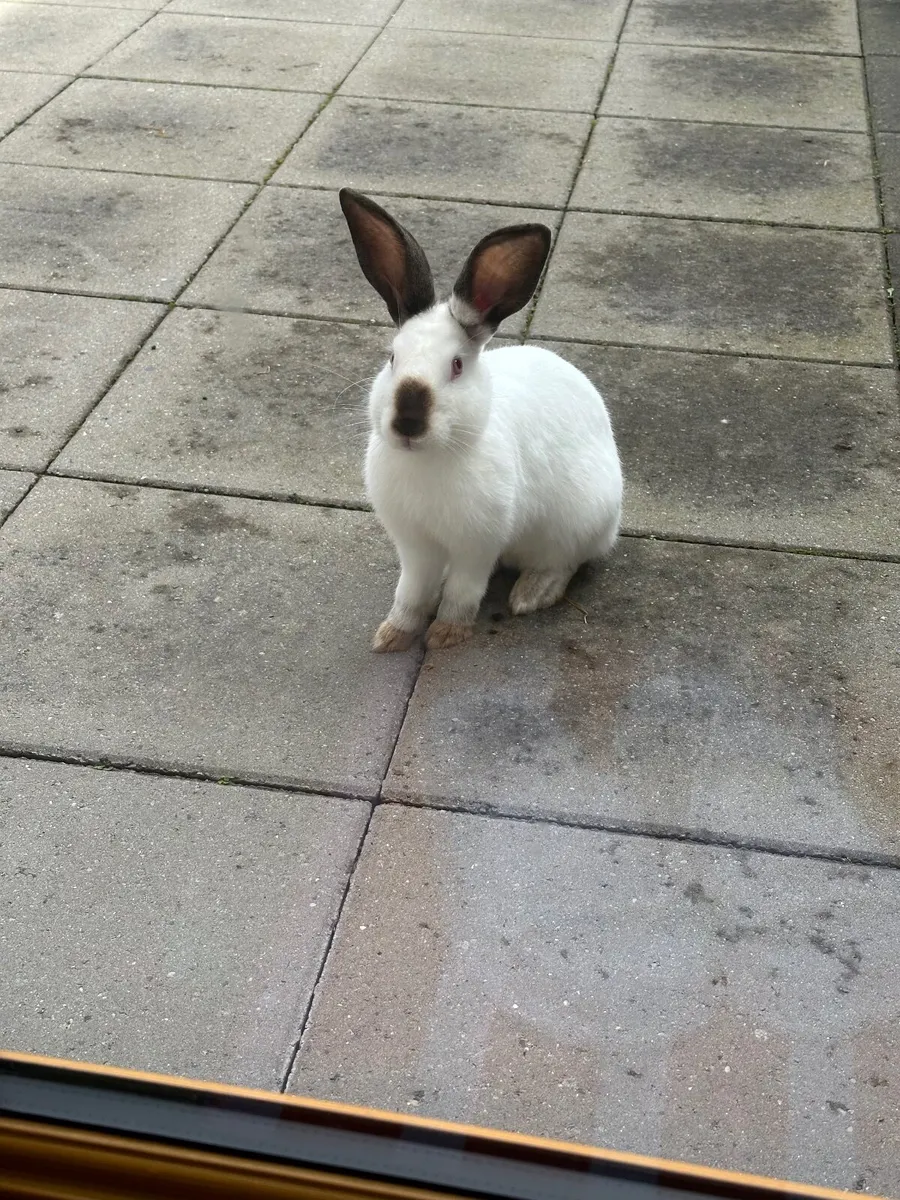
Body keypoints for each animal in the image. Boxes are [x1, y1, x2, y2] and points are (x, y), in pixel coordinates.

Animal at [339, 188, 623, 652]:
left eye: (456, 366)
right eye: (392, 358)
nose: (408, 423)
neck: (430, 459)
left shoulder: (478, 544)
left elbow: (464, 590)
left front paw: (445, 635)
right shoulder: (414, 547)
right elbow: (410, 592)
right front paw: (392, 635)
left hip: (576, 523)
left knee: (565, 562)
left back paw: (531, 594)